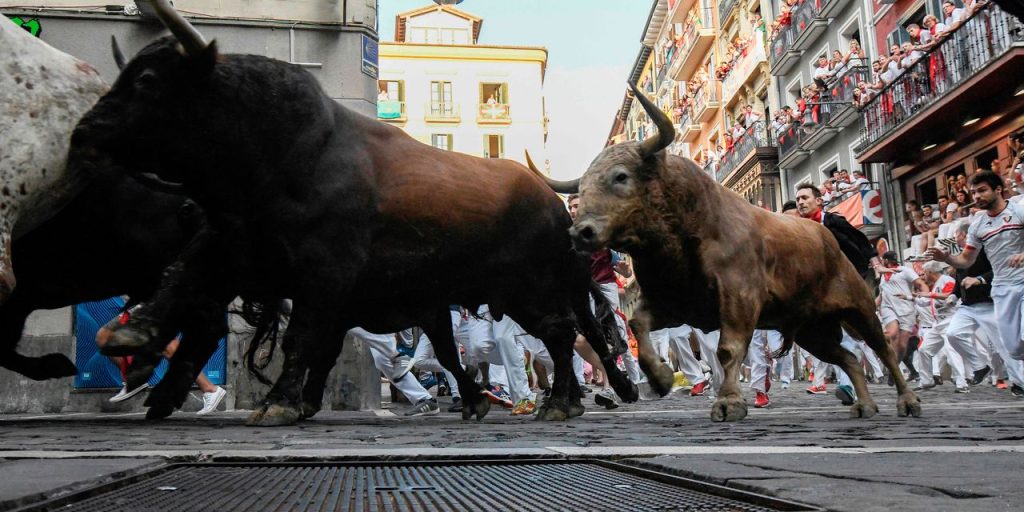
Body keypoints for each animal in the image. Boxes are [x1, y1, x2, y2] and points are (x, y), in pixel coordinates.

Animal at [70, 0, 635, 426]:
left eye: (146, 80)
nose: (84, 134)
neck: (283, 148)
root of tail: (552, 204)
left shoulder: (325, 272)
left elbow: (303, 338)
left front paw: (278, 403)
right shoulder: (242, 248)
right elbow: (186, 277)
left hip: (530, 288)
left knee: (564, 334)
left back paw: (566, 402)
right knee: (561, 335)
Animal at [562, 83, 921, 422]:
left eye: (621, 177)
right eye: (583, 187)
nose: (580, 232)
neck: (689, 225)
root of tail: (826, 237)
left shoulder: (739, 298)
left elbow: (728, 350)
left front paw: (729, 402)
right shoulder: (675, 304)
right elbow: (638, 325)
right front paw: (661, 379)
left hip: (859, 308)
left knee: (884, 349)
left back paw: (908, 401)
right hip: (811, 330)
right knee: (848, 358)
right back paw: (864, 404)